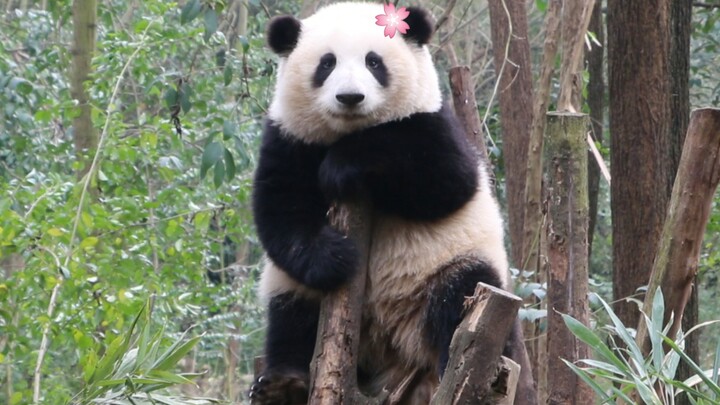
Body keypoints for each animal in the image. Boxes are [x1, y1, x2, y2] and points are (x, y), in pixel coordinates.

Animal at [250, 3, 532, 404]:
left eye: (374, 62)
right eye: (326, 64)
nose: (350, 97)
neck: (348, 131)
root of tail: (393, 353)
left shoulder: (433, 123)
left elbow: (445, 179)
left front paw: (341, 166)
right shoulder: (289, 138)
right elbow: (278, 209)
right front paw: (335, 256)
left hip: (452, 266)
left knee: (461, 294)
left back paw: (457, 370)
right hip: (293, 288)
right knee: (292, 315)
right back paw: (284, 383)